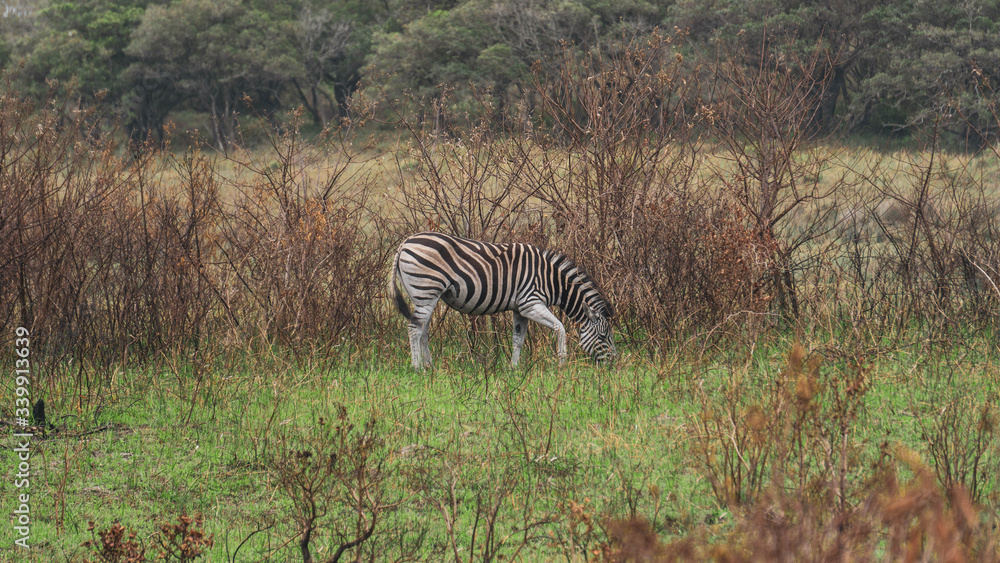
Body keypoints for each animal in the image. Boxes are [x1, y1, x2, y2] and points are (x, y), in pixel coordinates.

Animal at [390, 232, 616, 369]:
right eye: (603, 336)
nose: (612, 365)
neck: (550, 279)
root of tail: (404, 243)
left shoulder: (519, 309)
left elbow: (518, 339)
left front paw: (513, 368)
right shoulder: (531, 303)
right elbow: (560, 327)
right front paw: (562, 362)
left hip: (426, 296)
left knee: (423, 330)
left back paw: (431, 366)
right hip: (425, 291)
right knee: (414, 328)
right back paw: (417, 367)